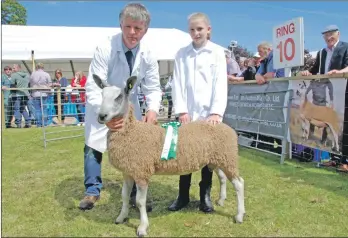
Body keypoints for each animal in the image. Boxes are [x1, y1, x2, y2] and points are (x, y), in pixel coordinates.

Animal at [92, 74, 245, 236]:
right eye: (102, 95)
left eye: (119, 97)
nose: (101, 116)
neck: (132, 131)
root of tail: (228, 128)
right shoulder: (128, 171)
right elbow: (125, 196)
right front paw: (121, 217)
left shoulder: (141, 172)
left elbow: (140, 202)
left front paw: (142, 227)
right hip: (217, 159)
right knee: (222, 178)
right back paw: (221, 200)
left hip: (228, 157)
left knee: (239, 183)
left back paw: (239, 215)